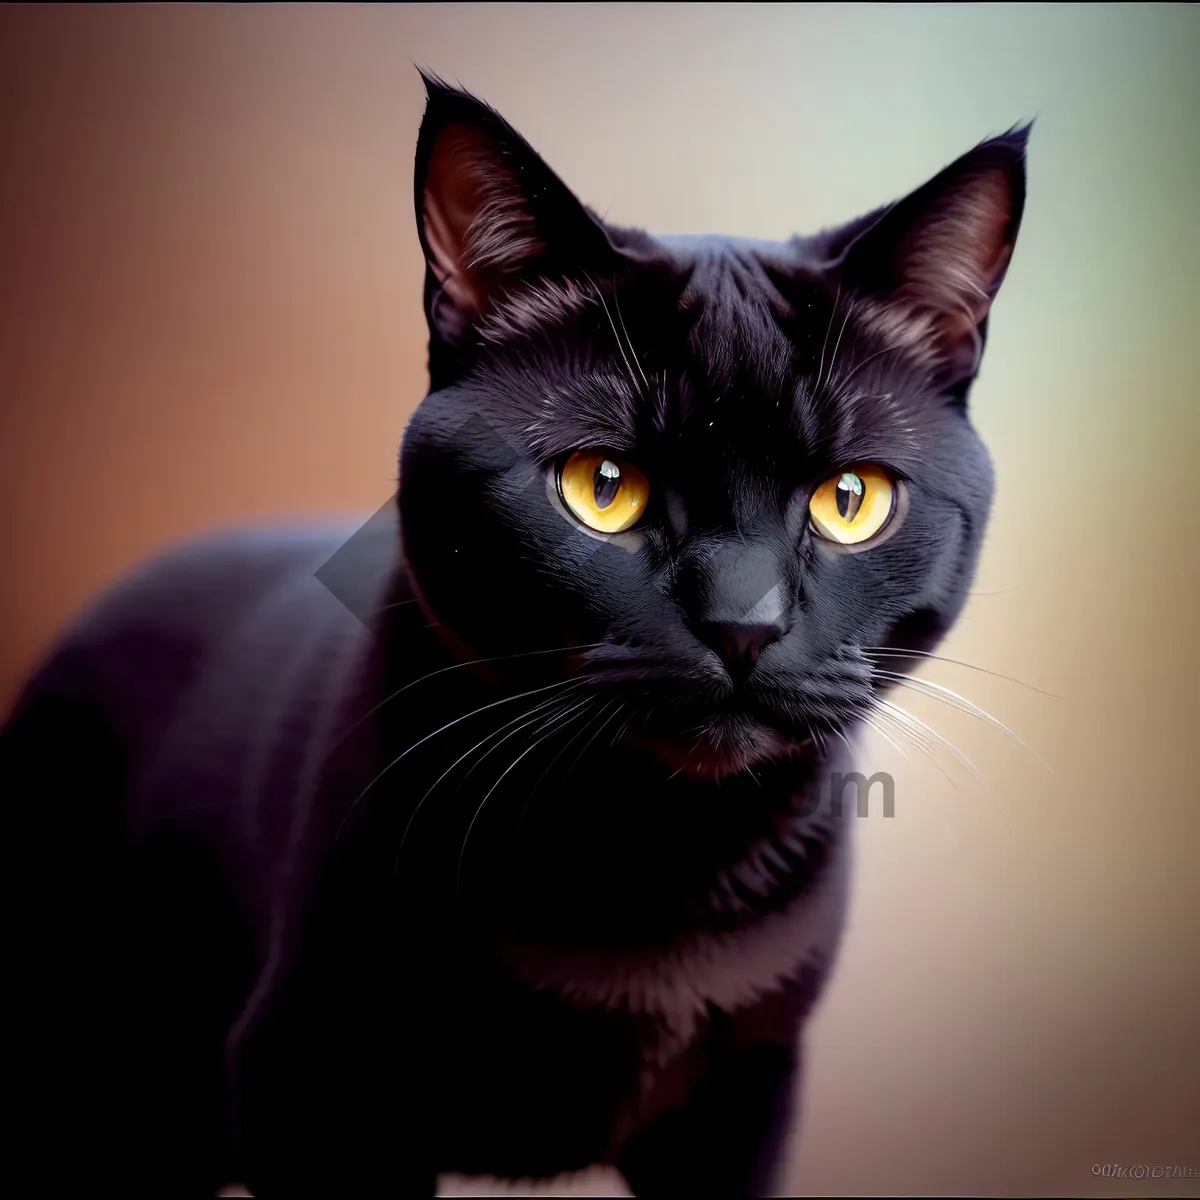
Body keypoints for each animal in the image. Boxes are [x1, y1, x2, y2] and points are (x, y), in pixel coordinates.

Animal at [4, 70, 1027, 1195]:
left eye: (851, 499)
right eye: (602, 487)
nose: (743, 622)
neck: (650, 861)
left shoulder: (746, 1094)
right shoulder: (308, 1079)